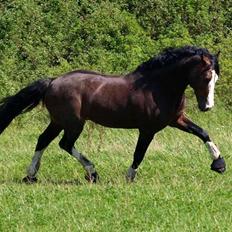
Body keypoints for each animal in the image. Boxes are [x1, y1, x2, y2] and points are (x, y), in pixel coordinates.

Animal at [0, 45, 226, 183]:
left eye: (216, 78)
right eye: (206, 76)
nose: (207, 107)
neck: (158, 86)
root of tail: (53, 81)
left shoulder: (176, 120)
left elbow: (203, 133)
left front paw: (219, 164)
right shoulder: (148, 129)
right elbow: (139, 153)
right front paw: (129, 177)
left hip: (58, 121)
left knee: (43, 140)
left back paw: (31, 176)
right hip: (73, 123)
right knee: (64, 144)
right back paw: (92, 173)